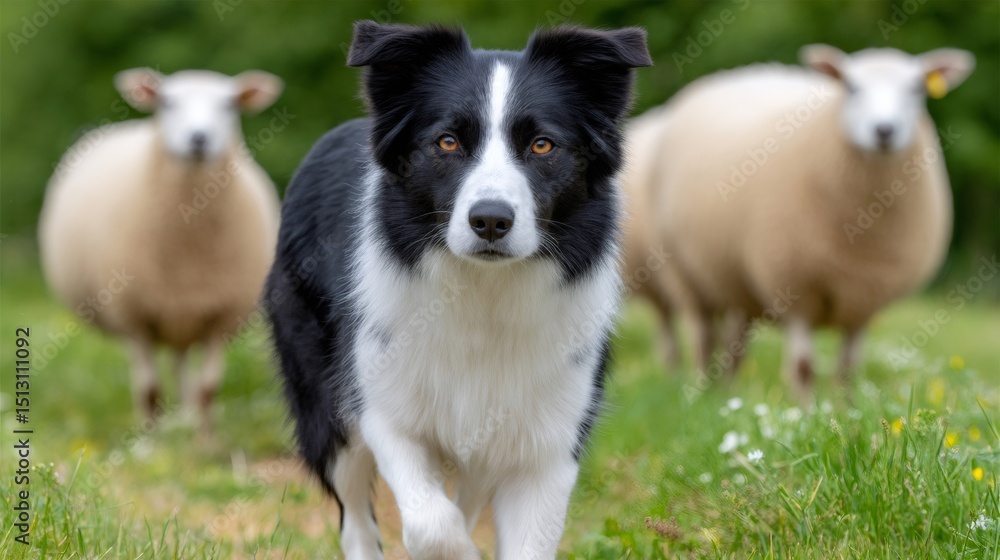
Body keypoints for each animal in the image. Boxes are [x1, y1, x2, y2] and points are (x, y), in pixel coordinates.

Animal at [38, 68, 283, 429]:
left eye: (229, 104)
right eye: (167, 102)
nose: (199, 138)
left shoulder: (220, 316)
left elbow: (208, 390)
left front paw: (206, 439)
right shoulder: (135, 318)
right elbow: (150, 392)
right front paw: (151, 439)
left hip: (183, 317)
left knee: (183, 370)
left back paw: (186, 421)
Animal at [623, 45, 974, 398]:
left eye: (916, 88)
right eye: (851, 87)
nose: (884, 131)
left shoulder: (865, 298)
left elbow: (849, 368)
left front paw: (843, 406)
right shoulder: (793, 285)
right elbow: (804, 367)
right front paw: (804, 409)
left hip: (735, 279)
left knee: (735, 343)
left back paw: (728, 392)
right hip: (683, 271)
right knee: (699, 336)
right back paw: (699, 390)